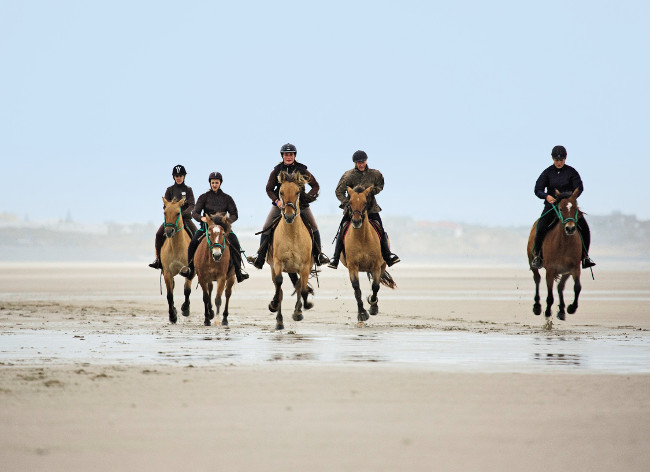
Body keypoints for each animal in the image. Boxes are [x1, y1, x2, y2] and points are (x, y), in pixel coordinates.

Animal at [160, 196, 192, 324]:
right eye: (164, 212)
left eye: (178, 213)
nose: (169, 231)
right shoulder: (167, 273)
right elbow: (169, 295)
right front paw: (172, 315)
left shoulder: (188, 270)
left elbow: (187, 290)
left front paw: (185, 309)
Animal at [264, 171, 312, 330]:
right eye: (281, 192)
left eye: (298, 192)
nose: (289, 216)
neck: (291, 234)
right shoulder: (278, 263)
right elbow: (279, 286)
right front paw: (273, 305)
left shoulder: (305, 266)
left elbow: (303, 289)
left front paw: (304, 307)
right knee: (280, 290)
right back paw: (279, 321)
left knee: (298, 285)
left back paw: (298, 312)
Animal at [340, 186, 394, 322]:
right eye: (350, 203)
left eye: (365, 202)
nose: (356, 221)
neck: (362, 238)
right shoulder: (353, 267)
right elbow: (357, 289)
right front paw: (362, 313)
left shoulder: (376, 266)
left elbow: (375, 286)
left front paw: (373, 305)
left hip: (382, 265)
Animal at [524, 188, 580, 320]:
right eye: (561, 208)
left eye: (575, 208)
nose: (570, 228)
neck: (564, 244)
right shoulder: (550, 269)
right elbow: (549, 295)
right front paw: (548, 312)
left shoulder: (575, 268)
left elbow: (577, 287)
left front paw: (571, 308)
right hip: (532, 263)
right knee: (537, 278)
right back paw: (537, 307)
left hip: (566, 271)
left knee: (560, 286)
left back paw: (562, 311)